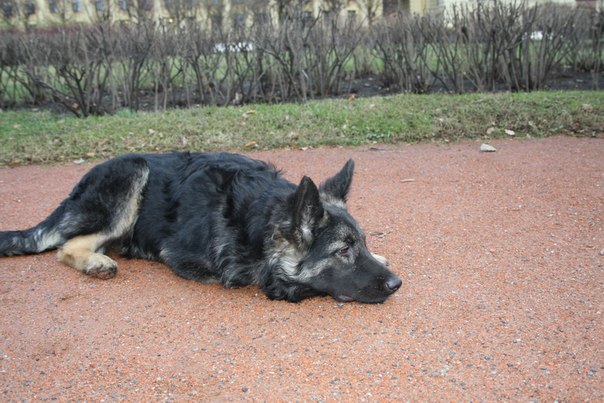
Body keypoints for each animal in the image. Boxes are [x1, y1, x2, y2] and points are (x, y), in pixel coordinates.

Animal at [0, 153, 402, 304]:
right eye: (343, 250)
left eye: (361, 243)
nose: (396, 284)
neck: (258, 216)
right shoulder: (185, 259)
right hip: (131, 172)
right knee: (66, 245)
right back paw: (95, 262)